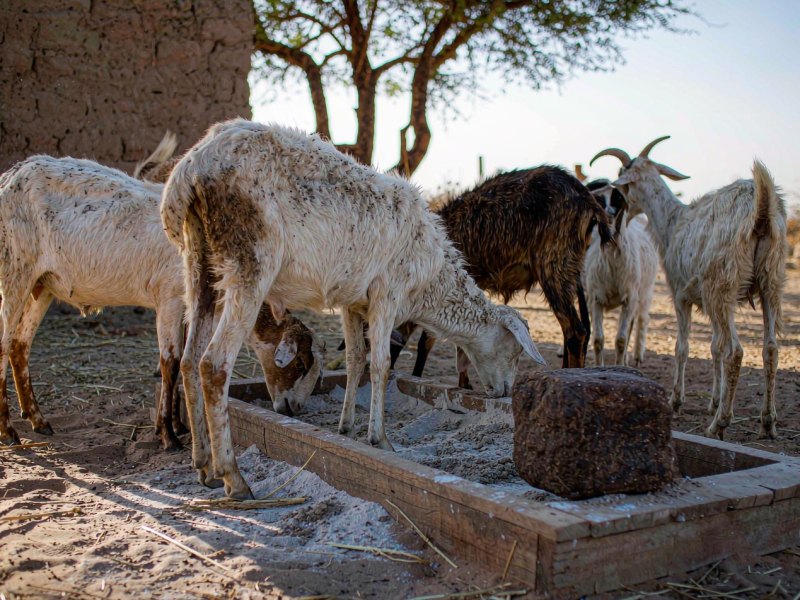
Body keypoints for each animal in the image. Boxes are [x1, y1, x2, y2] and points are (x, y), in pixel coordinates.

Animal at [0, 156, 323, 450]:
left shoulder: (189, 308)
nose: (295, 409)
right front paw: (168, 436)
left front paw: (178, 425)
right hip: (15, 270)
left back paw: (38, 420)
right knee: (4, 344)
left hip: (43, 283)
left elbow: (184, 359)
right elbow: (170, 362)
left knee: (19, 345)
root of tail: (11, 173)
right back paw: (9, 431)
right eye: (300, 364)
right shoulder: (169, 298)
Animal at [160, 119, 546, 499]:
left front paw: (345, 428)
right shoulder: (387, 294)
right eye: (515, 352)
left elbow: (354, 361)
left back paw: (203, 466)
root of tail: (192, 168)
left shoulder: (352, 302)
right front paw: (380, 439)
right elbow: (381, 365)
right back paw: (234, 478)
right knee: (213, 364)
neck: (431, 284)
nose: (504, 391)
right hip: (249, 260)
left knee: (189, 361)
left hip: (198, 261)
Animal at [394, 166, 614, 388]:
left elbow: (426, 340)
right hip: (572, 270)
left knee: (576, 330)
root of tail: (584, 196)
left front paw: (418, 376)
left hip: (553, 267)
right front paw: (464, 384)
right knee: (579, 327)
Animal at [582, 179, 659, 367]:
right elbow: (598, 339)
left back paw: (636, 357)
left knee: (641, 319)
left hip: (645, 291)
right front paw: (598, 367)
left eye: (617, 197)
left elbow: (621, 340)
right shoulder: (596, 299)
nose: (608, 214)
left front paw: (619, 367)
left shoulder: (629, 300)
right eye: (599, 199)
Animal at [591, 137, 786, 439]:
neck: (673, 222)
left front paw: (677, 401)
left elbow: (682, 348)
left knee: (736, 352)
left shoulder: (680, 294)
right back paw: (767, 423)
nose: (617, 217)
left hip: (722, 284)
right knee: (770, 349)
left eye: (622, 184)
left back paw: (719, 424)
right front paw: (714, 401)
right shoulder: (705, 299)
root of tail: (761, 208)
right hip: (771, 283)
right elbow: (714, 348)